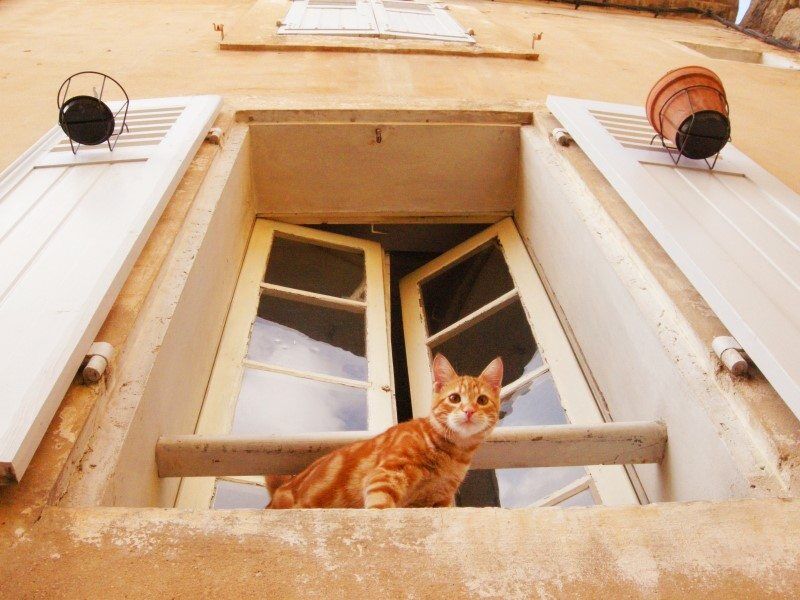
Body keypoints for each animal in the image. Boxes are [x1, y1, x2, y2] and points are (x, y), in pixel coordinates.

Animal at [268, 354, 506, 508]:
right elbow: (381, 511)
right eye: (455, 398)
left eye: (482, 400)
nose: (468, 411)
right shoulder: (385, 476)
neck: (455, 453)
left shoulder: (438, 500)